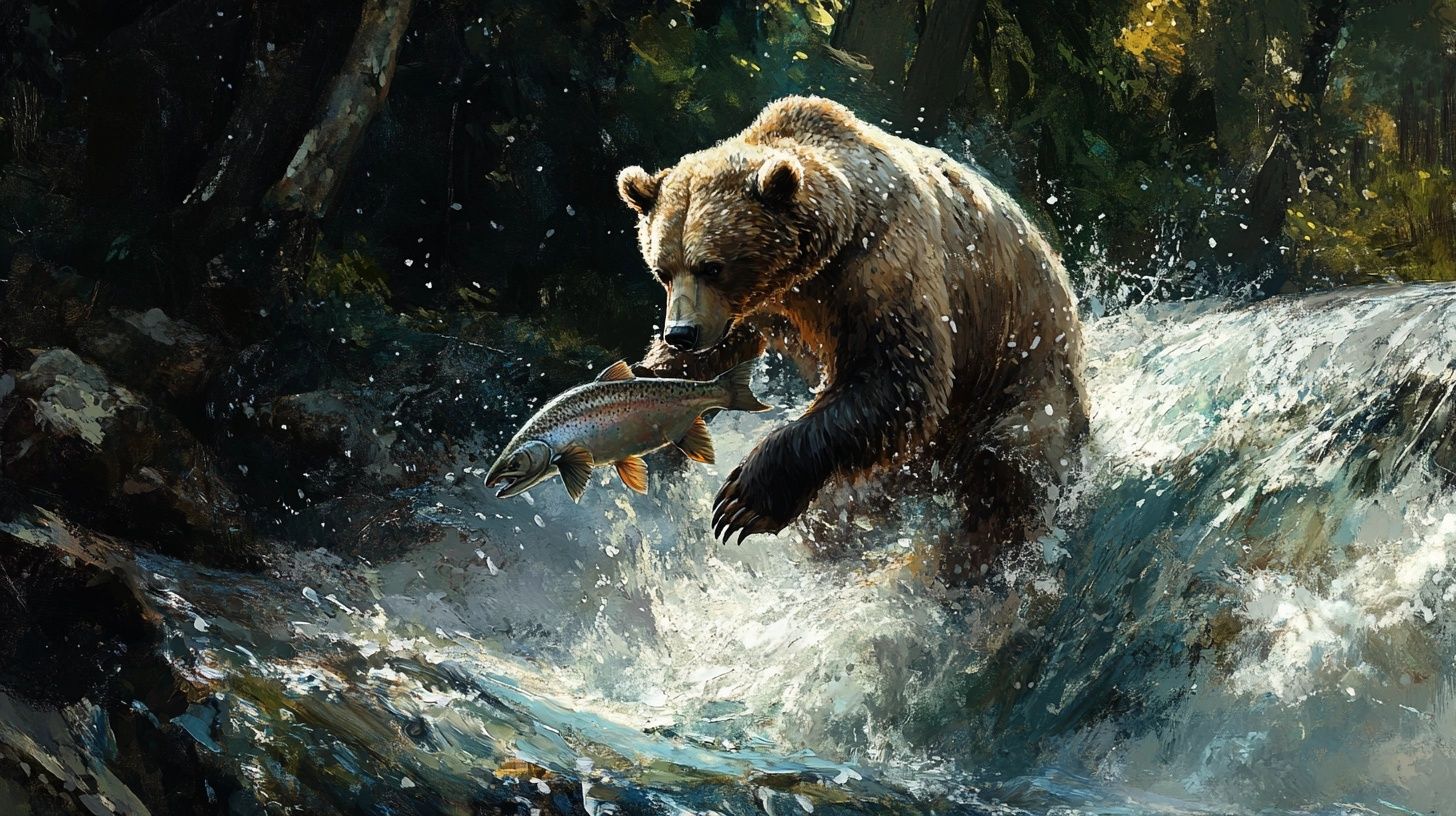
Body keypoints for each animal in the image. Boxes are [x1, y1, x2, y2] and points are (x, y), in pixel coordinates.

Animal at [616, 96, 1088, 582]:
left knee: (1007, 482)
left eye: (712, 266)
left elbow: (898, 379)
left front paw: (745, 497)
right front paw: (645, 382)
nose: (681, 334)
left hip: (1020, 387)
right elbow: (720, 351)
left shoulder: (882, 266)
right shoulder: (763, 307)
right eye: (662, 269)